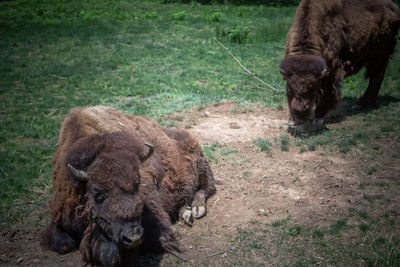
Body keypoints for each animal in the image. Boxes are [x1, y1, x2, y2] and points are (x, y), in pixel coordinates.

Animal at [41, 107, 217, 267]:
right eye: (97, 193)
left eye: (137, 184)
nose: (132, 237)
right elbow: (64, 245)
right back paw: (186, 213)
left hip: (199, 164)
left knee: (205, 188)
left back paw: (196, 209)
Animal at [280, 0, 400, 131]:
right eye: (289, 88)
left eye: (314, 89)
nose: (301, 118)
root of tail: (393, 7)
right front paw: (292, 120)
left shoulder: (333, 72)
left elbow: (329, 93)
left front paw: (317, 118)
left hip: (381, 56)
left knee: (376, 78)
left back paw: (362, 104)